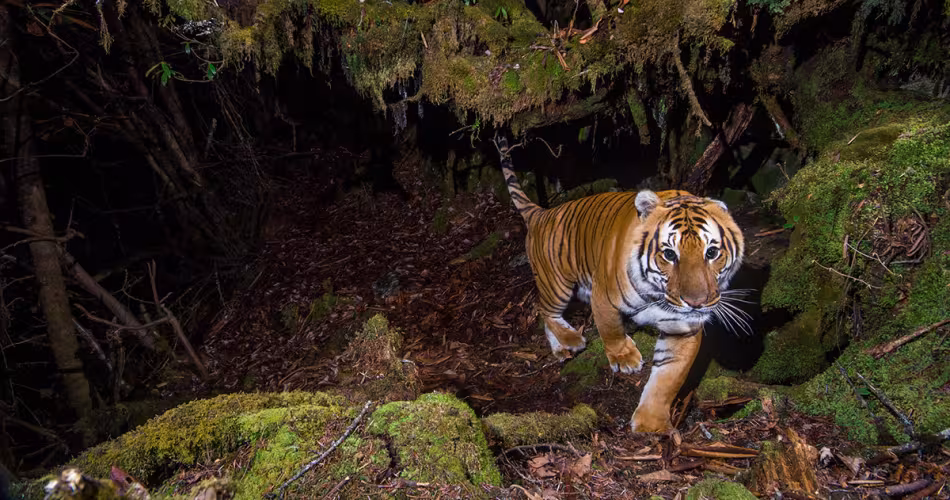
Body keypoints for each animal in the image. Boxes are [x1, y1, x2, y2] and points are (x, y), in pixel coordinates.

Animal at [495, 136, 746, 433]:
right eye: (669, 254)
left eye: (712, 252)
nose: (696, 303)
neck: (659, 294)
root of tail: (541, 213)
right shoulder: (604, 296)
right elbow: (611, 329)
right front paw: (625, 359)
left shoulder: (683, 326)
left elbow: (669, 377)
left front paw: (651, 424)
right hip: (558, 284)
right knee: (543, 308)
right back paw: (571, 339)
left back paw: (561, 348)